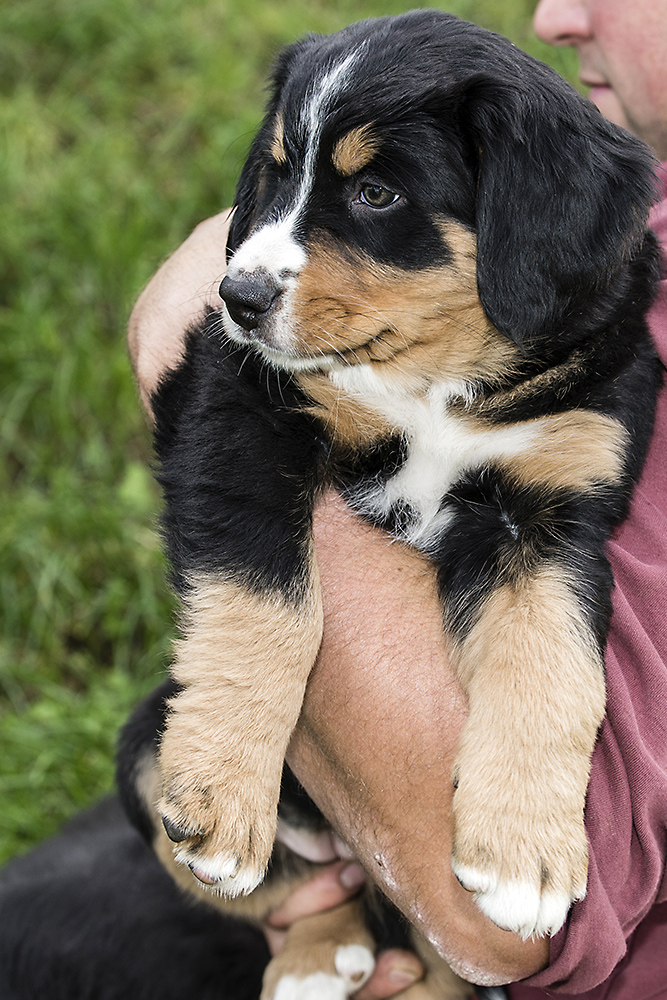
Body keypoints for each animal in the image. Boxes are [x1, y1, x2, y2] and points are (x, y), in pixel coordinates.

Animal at [150, 3, 664, 980]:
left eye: (377, 196)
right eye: (278, 170)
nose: (237, 295)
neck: (437, 380)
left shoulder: (552, 511)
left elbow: (553, 667)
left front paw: (526, 857)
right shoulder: (235, 399)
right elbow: (265, 606)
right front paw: (223, 795)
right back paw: (314, 955)